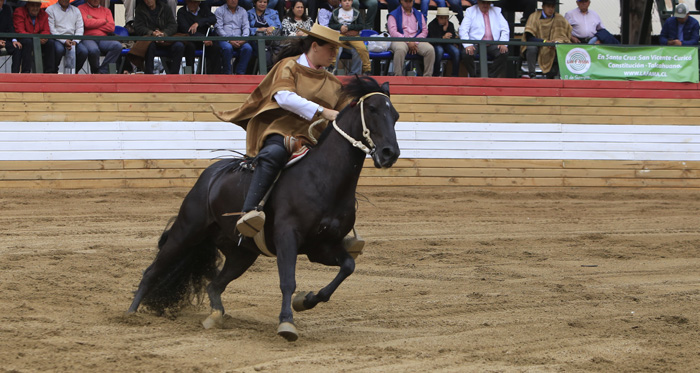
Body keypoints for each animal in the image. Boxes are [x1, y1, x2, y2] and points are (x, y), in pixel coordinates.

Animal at [126, 75, 400, 340]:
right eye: (373, 109)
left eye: (395, 115)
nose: (390, 153)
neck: (322, 178)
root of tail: (211, 175)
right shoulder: (287, 237)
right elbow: (287, 280)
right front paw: (287, 323)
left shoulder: (321, 246)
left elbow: (347, 267)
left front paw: (306, 300)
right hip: (187, 231)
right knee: (152, 271)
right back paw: (130, 314)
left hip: (242, 254)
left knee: (214, 285)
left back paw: (215, 316)